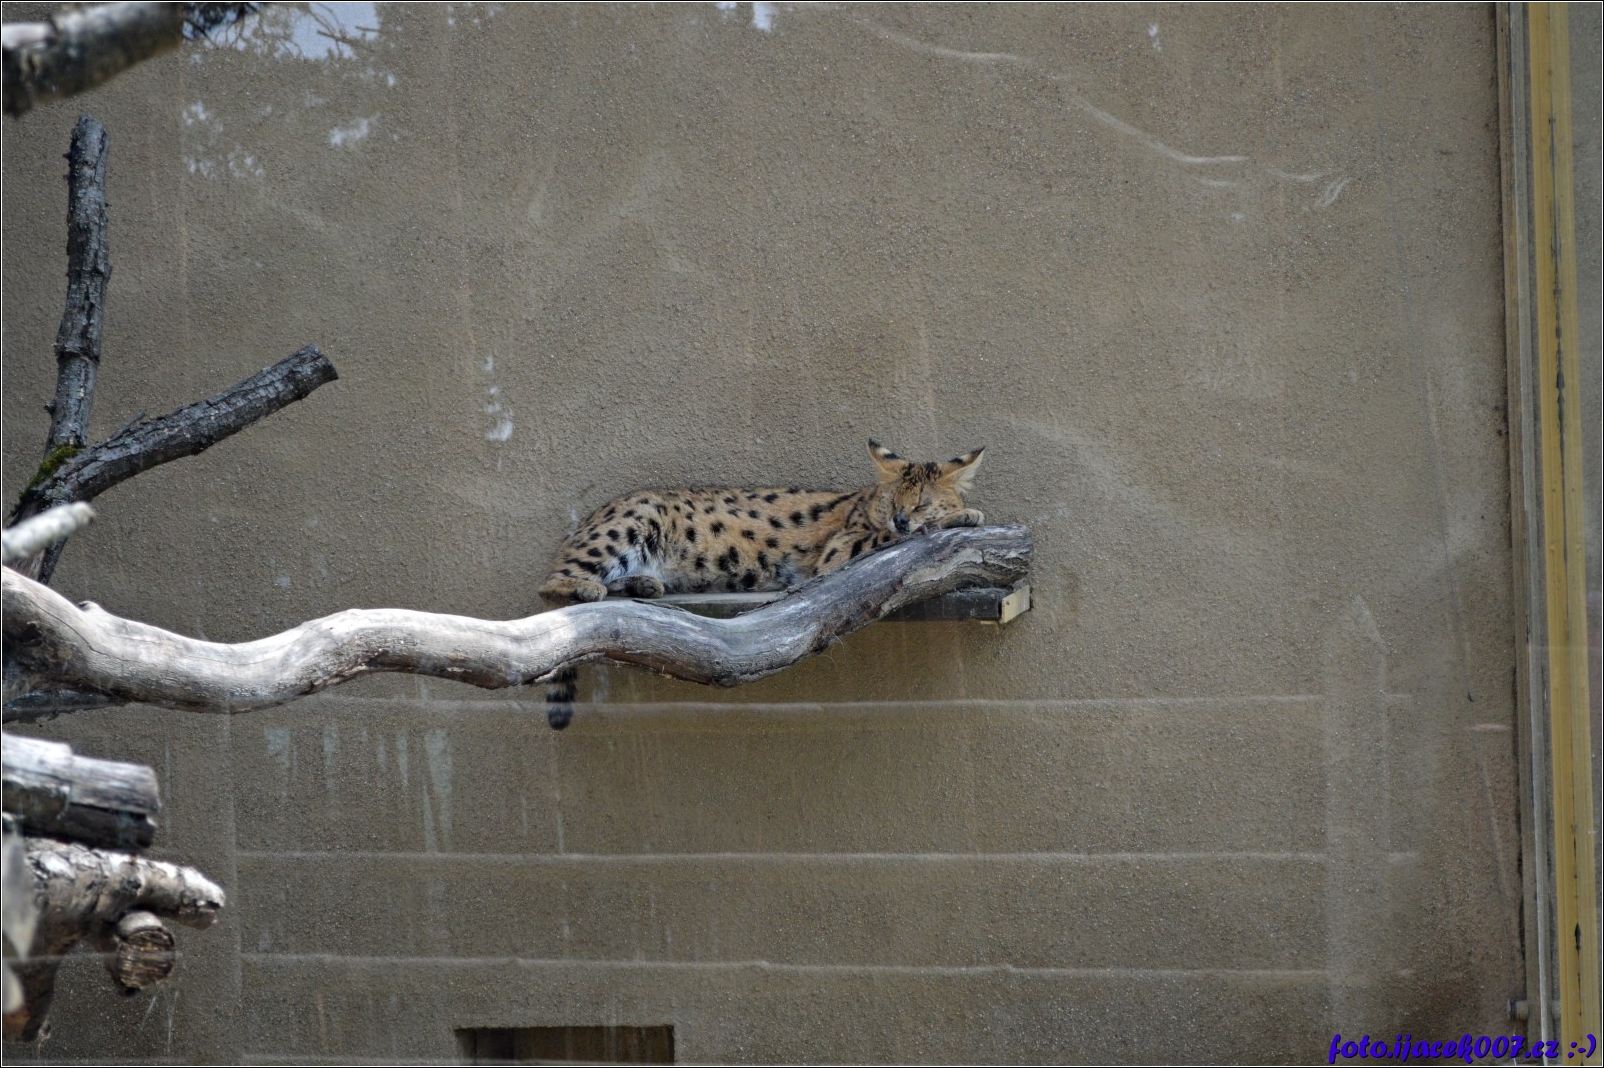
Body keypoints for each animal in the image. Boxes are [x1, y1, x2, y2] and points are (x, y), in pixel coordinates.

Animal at [537, 440, 985, 728]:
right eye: (895, 503)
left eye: (921, 503)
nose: (902, 519)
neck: (867, 503)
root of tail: (584, 522)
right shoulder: (839, 550)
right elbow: (891, 538)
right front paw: (962, 516)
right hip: (631, 523)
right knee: (549, 585)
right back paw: (589, 588)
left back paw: (641, 585)